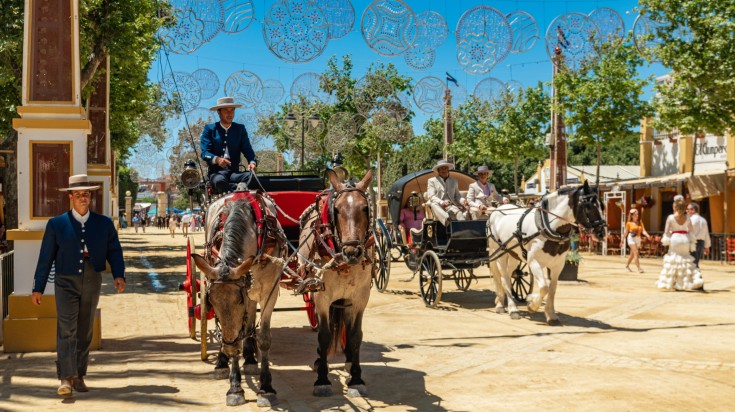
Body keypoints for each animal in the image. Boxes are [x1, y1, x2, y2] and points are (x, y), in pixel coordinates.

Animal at [191, 189, 286, 406]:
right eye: (211, 302)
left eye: (239, 302)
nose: (229, 349)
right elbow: (233, 334)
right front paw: (235, 387)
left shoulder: (269, 290)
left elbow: (263, 337)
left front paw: (266, 387)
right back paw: (222, 361)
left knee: (250, 321)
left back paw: (249, 358)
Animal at [296, 169, 374, 398]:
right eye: (337, 210)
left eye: (365, 208)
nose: (352, 252)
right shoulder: (322, 296)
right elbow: (324, 335)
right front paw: (322, 380)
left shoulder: (360, 297)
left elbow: (355, 334)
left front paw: (356, 378)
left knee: (346, 325)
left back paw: (348, 360)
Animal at [486, 181, 608, 326]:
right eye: (588, 206)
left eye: (602, 205)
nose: (601, 233)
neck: (546, 226)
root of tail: (497, 210)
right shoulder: (533, 261)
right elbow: (544, 287)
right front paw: (532, 304)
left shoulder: (558, 264)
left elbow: (552, 289)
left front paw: (551, 315)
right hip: (499, 252)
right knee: (503, 278)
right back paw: (511, 308)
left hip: (514, 255)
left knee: (509, 276)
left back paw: (500, 301)